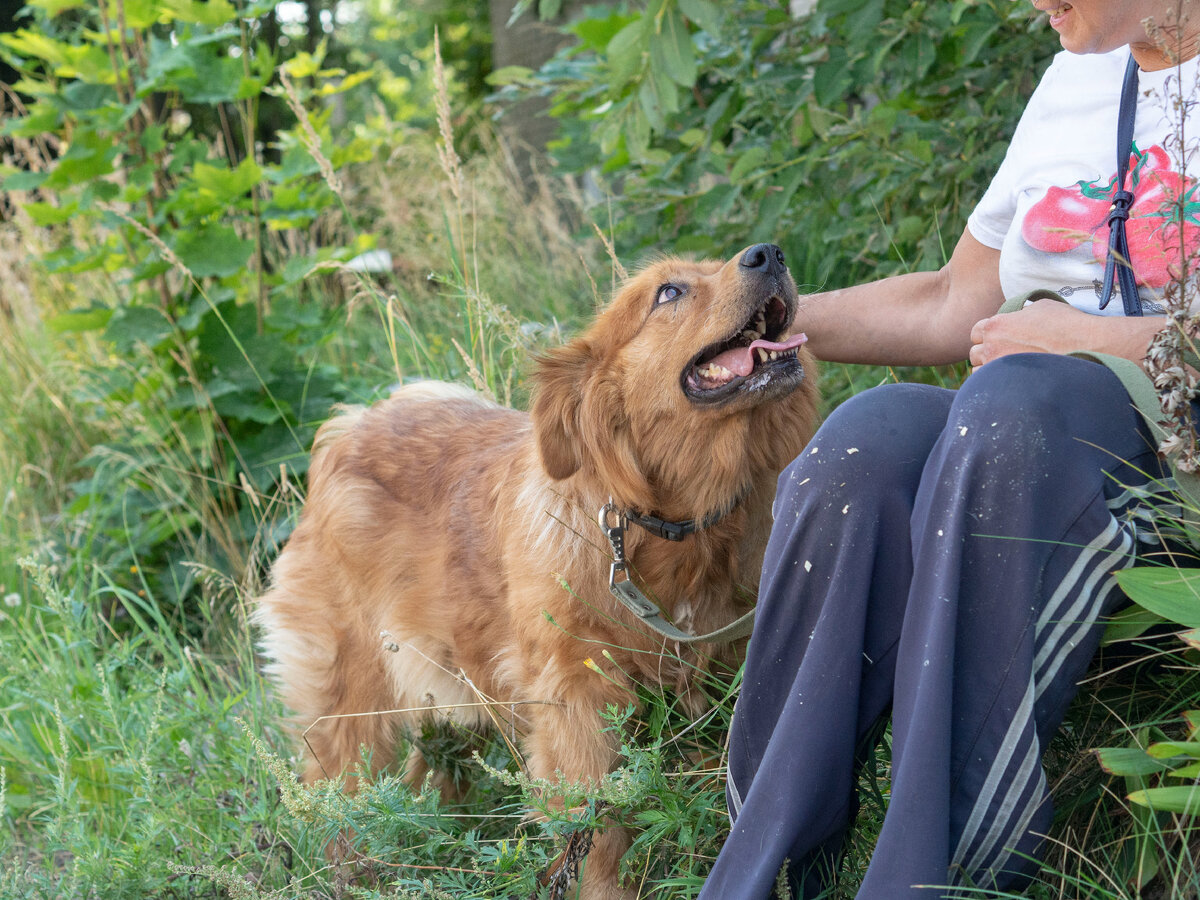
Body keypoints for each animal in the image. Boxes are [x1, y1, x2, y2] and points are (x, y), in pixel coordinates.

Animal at [256, 243, 820, 897]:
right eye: (669, 293)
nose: (769, 253)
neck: (661, 526)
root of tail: (348, 429)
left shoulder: (715, 671)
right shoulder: (577, 708)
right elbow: (599, 837)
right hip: (354, 711)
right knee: (342, 805)